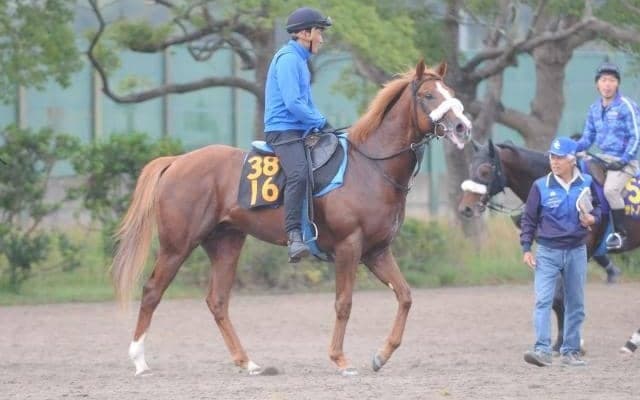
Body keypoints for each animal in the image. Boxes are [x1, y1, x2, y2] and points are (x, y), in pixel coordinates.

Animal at [111, 60, 472, 376]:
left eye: (450, 91)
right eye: (429, 95)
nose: (462, 127)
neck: (371, 166)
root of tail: (176, 161)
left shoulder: (376, 251)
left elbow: (405, 296)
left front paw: (381, 355)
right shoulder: (349, 247)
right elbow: (344, 303)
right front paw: (340, 359)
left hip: (226, 243)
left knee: (217, 301)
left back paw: (247, 362)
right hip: (177, 245)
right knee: (152, 291)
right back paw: (139, 360)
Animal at [457, 139, 626, 353]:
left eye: (485, 171)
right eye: (471, 168)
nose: (465, 208)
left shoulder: (583, 250)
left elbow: (566, 297)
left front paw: (570, 342)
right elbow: (556, 299)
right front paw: (560, 342)